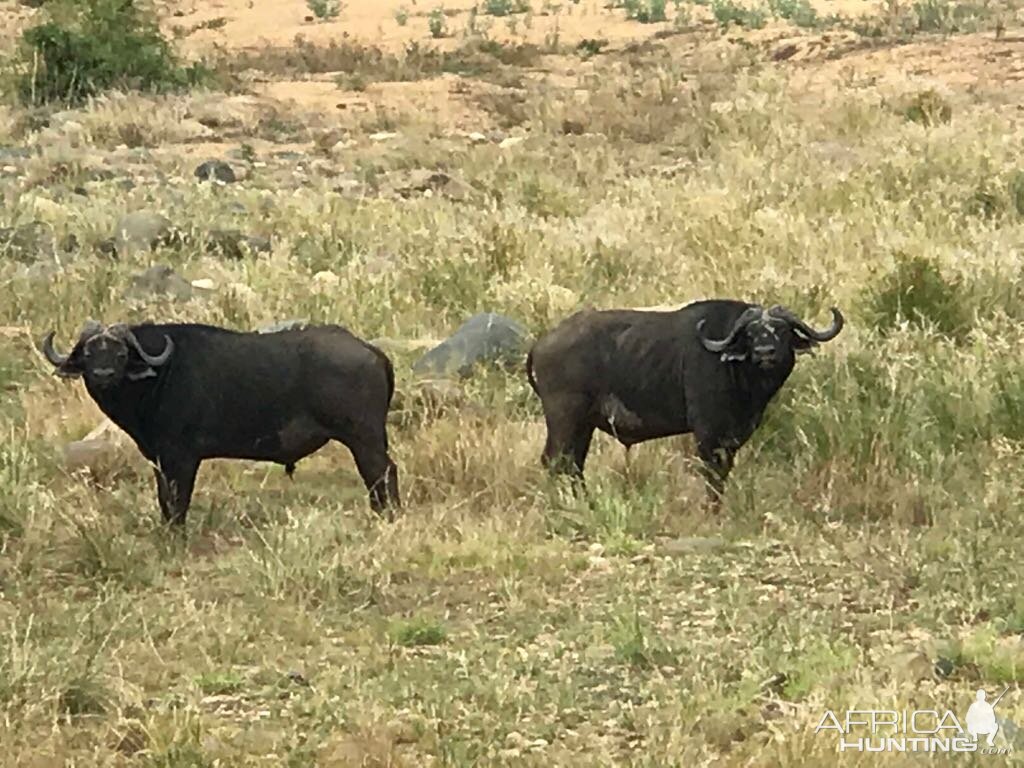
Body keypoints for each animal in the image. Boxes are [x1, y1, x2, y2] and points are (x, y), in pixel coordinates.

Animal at [40, 321, 399, 528]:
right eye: (89, 354)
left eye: (120, 354)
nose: (103, 375)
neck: (160, 376)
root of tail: (373, 352)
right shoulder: (160, 461)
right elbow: (164, 498)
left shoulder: (181, 459)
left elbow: (178, 500)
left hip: (364, 439)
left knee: (382, 473)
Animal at [524, 301, 843, 505]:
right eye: (751, 333)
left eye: (783, 330)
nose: (766, 352)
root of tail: (540, 344)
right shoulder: (708, 433)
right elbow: (714, 474)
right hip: (564, 420)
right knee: (555, 461)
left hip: (583, 425)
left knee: (573, 464)